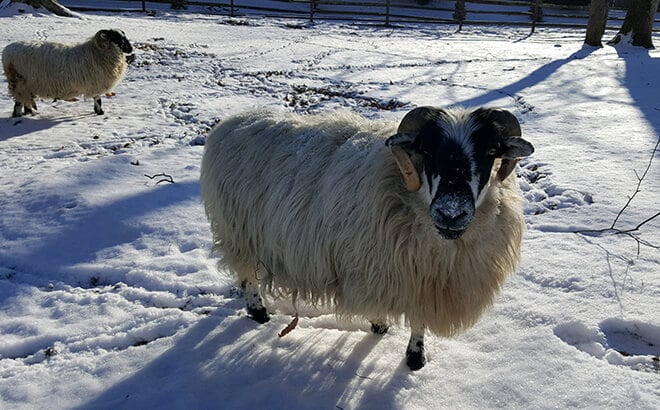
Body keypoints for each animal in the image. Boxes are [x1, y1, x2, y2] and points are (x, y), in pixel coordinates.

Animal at [1, 28, 133, 117]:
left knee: (25, 99)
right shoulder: (96, 82)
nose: (130, 49)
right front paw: (100, 112)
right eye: (116, 38)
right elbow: (98, 99)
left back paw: (29, 112)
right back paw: (19, 115)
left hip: (26, 84)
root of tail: (6, 52)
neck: (98, 52)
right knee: (19, 102)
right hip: (19, 81)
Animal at [201, 106, 536, 372]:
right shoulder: (383, 268)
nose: (450, 213)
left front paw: (411, 353)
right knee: (247, 275)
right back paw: (257, 311)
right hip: (238, 231)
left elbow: (417, 322)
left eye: (491, 152)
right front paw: (392, 337)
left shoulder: (421, 280)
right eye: (427, 151)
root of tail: (232, 120)